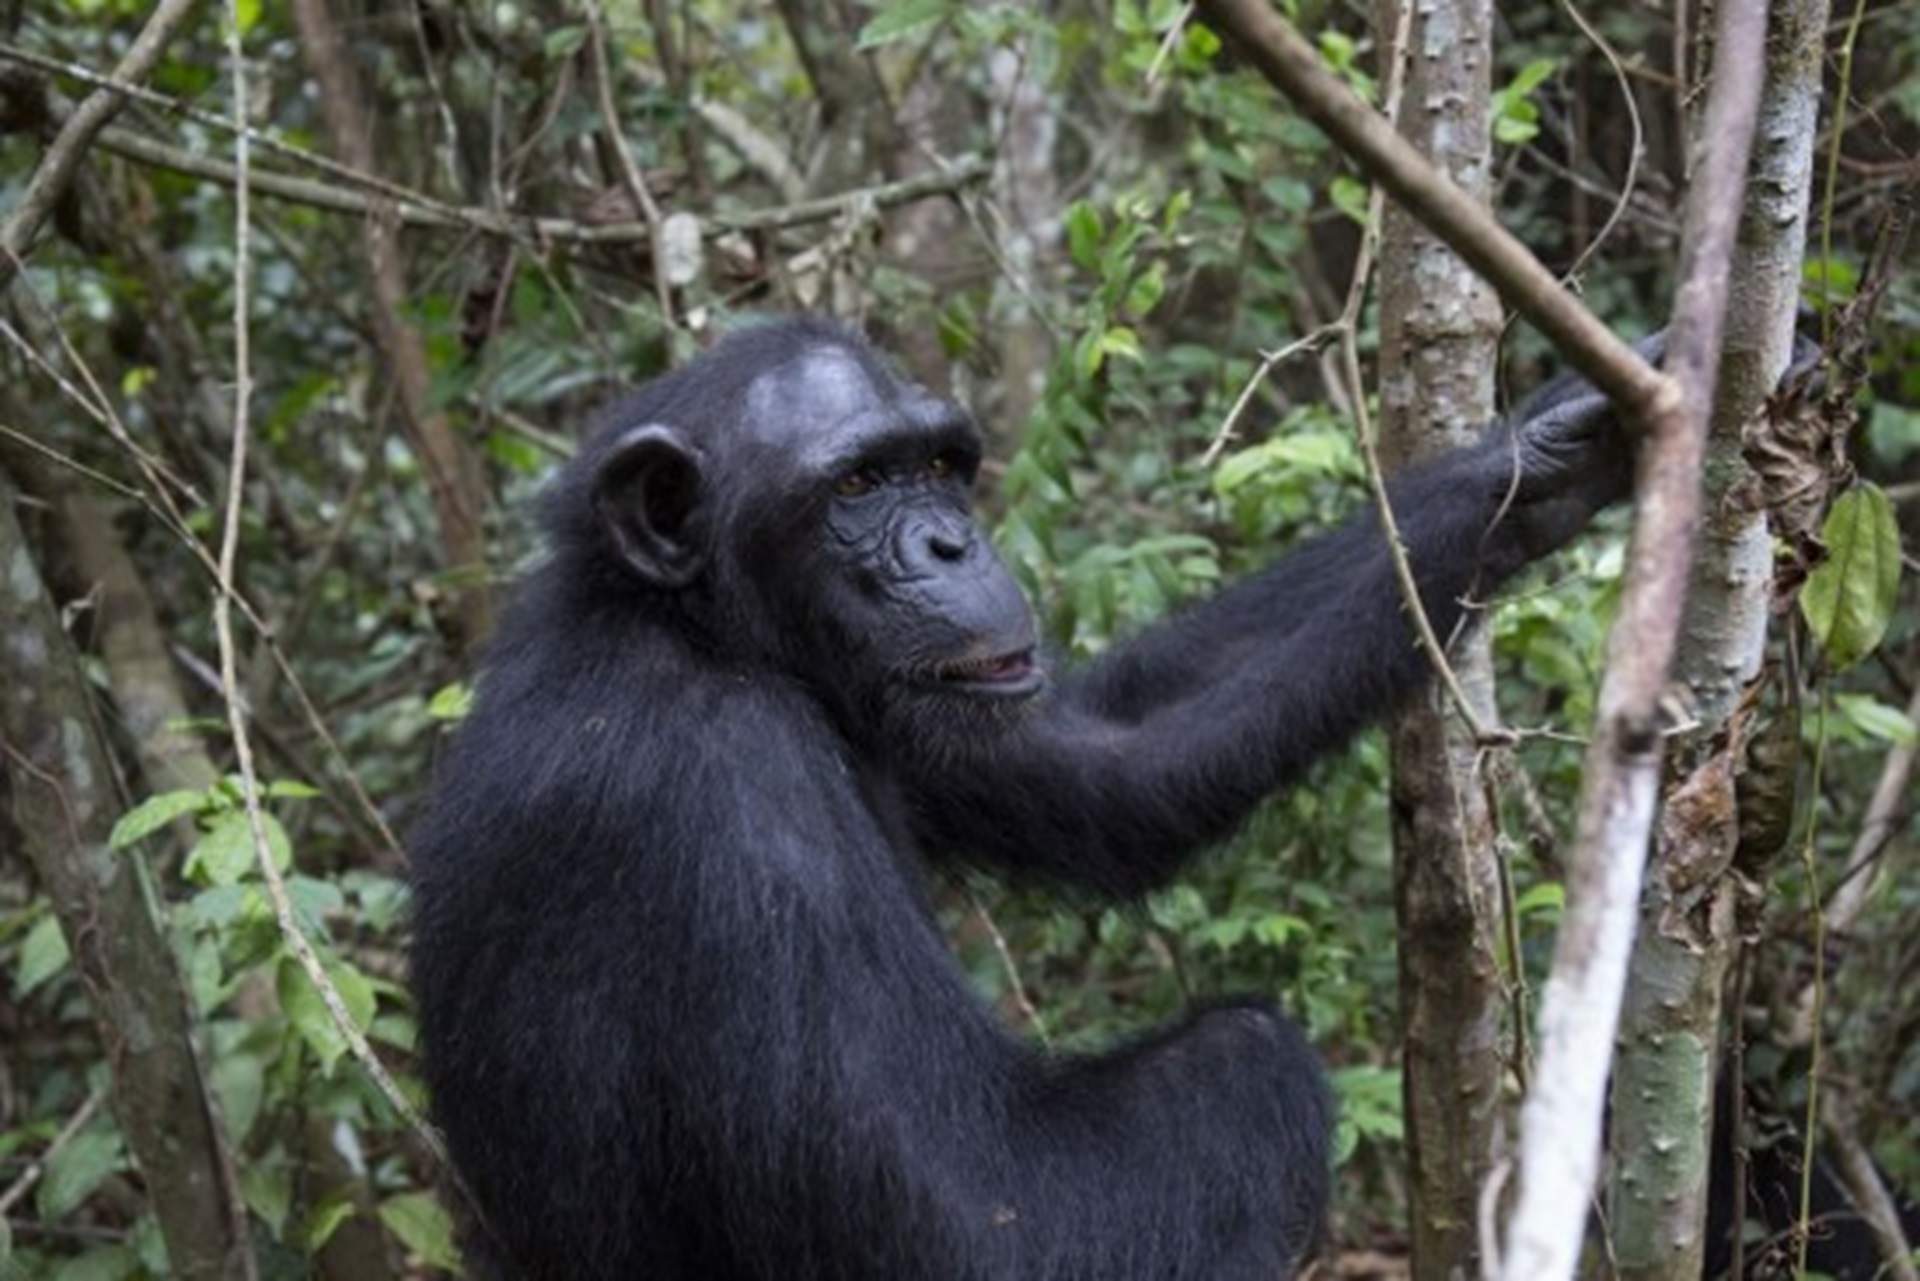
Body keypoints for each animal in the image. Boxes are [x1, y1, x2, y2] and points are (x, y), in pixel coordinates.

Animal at [412, 313, 1658, 1281]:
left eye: (937, 466)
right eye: (857, 484)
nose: (951, 544)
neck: (700, 631)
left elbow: (1109, 763)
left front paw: (1554, 448)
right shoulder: (735, 811)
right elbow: (979, 1226)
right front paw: (1254, 1057)